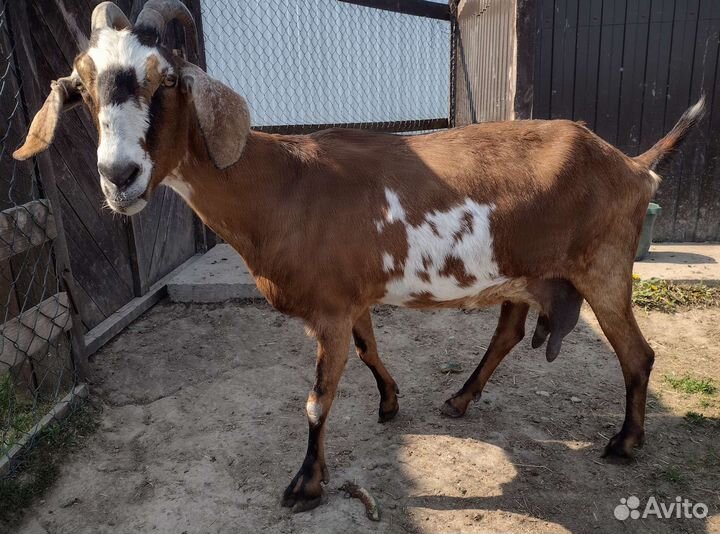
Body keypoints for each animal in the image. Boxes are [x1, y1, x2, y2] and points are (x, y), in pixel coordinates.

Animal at [14, 1, 705, 513]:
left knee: (637, 353)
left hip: (604, 265)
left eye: (166, 80)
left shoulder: (327, 308)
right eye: (81, 88)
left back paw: (624, 442)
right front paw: (390, 402)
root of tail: (632, 164)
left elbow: (317, 399)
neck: (282, 184)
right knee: (511, 329)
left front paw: (305, 485)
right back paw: (459, 400)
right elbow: (369, 348)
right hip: (525, 272)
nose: (119, 178)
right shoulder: (350, 297)